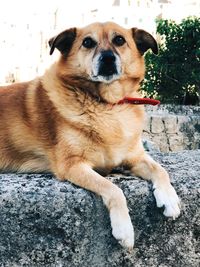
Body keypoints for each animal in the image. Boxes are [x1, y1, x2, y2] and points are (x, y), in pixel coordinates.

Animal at [0, 22, 180, 250]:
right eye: (87, 42)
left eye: (119, 40)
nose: (108, 58)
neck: (107, 105)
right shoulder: (73, 165)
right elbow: (113, 189)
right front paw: (124, 229)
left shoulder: (135, 157)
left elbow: (161, 170)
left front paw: (170, 199)